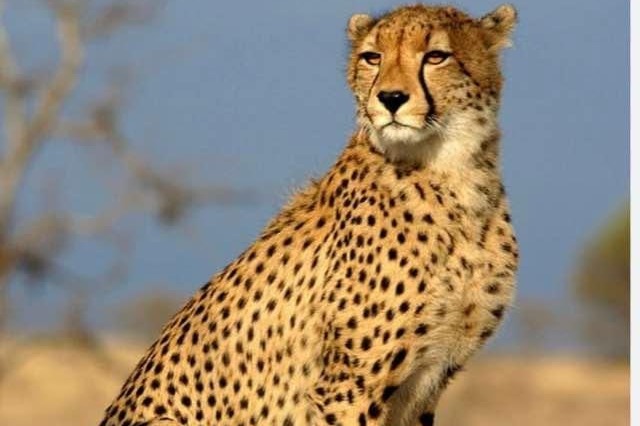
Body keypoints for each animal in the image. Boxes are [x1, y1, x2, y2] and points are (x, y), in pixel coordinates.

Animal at [100, 3, 519, 425]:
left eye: (436, 56)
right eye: (373, 57)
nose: (390, 98)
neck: (455, 175)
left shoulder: (428, 381)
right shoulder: (350, 385)